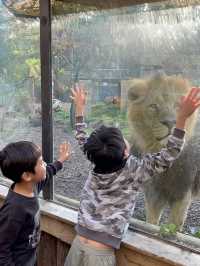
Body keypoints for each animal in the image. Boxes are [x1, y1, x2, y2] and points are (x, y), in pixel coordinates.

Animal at [127, 74, 200, 230]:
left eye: (179, 106)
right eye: (154, 106)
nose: (171, 122)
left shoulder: (182, 192)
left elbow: (172, 227)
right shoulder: (153, 193)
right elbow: (151, 222)